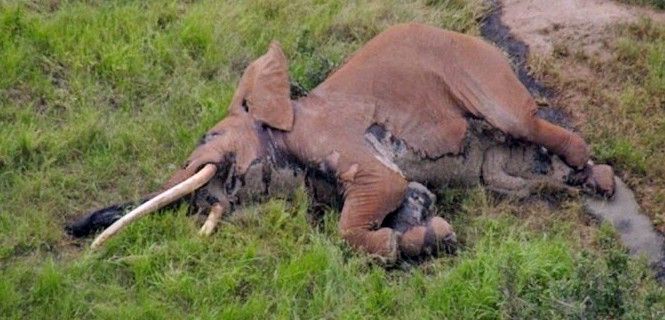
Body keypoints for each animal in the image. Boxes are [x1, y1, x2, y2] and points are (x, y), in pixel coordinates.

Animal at [66, 23, 612, 264]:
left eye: (209, 138)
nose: (74, 229)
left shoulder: (330, 136)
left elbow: (381, 189)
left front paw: (398, 244)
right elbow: (410, 194)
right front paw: (429, 234)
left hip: (479, 70)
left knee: (523, 121)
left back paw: (595, 178)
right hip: (494, 166)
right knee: (507, 174)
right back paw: (574, 183)